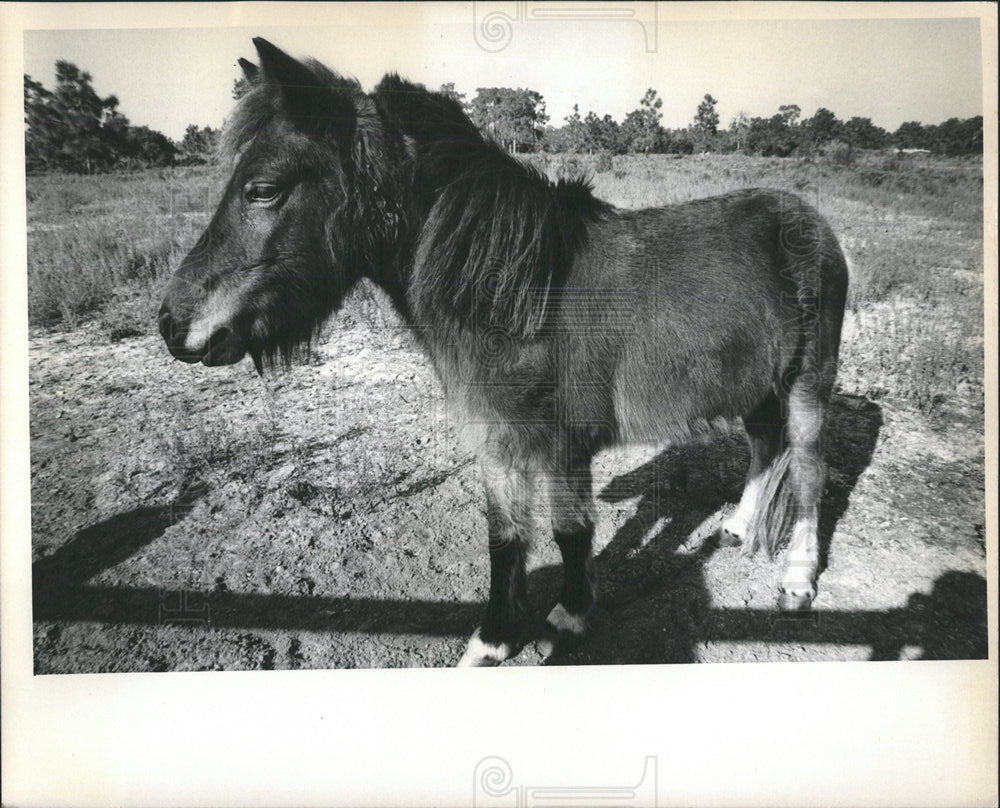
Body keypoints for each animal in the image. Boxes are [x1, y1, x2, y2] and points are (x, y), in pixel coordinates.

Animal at [160, 38, 848, 664]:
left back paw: (796, 580)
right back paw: (736, 528)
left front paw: (567, 618)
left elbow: (570, 532)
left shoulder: (563, 445)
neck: (516, 296)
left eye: (264, 189)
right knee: (764, 445)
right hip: (757, 385)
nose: (172, 325)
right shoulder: (496, 438)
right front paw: (494, 640)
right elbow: (505, 538)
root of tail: (807, 217)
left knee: (808, 468)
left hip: (809, 383)